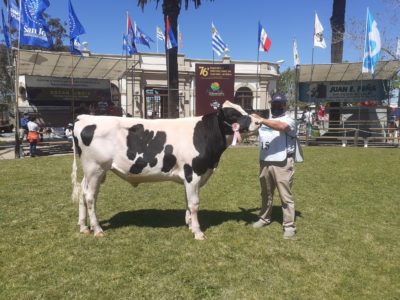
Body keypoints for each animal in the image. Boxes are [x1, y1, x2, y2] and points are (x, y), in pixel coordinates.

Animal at [71, 101, 260, 239]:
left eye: (243, 108)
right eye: (233, 114)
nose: (258, 121)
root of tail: (83, 117)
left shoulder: (189, 177)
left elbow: (187, 201)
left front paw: (190, 225)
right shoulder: (193, 174)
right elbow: (194, 203)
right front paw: (198, 232)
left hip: (92, 172)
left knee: (82, 192)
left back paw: (83, 226)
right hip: (95, 168)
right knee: (90, 197)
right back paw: (97, 229)